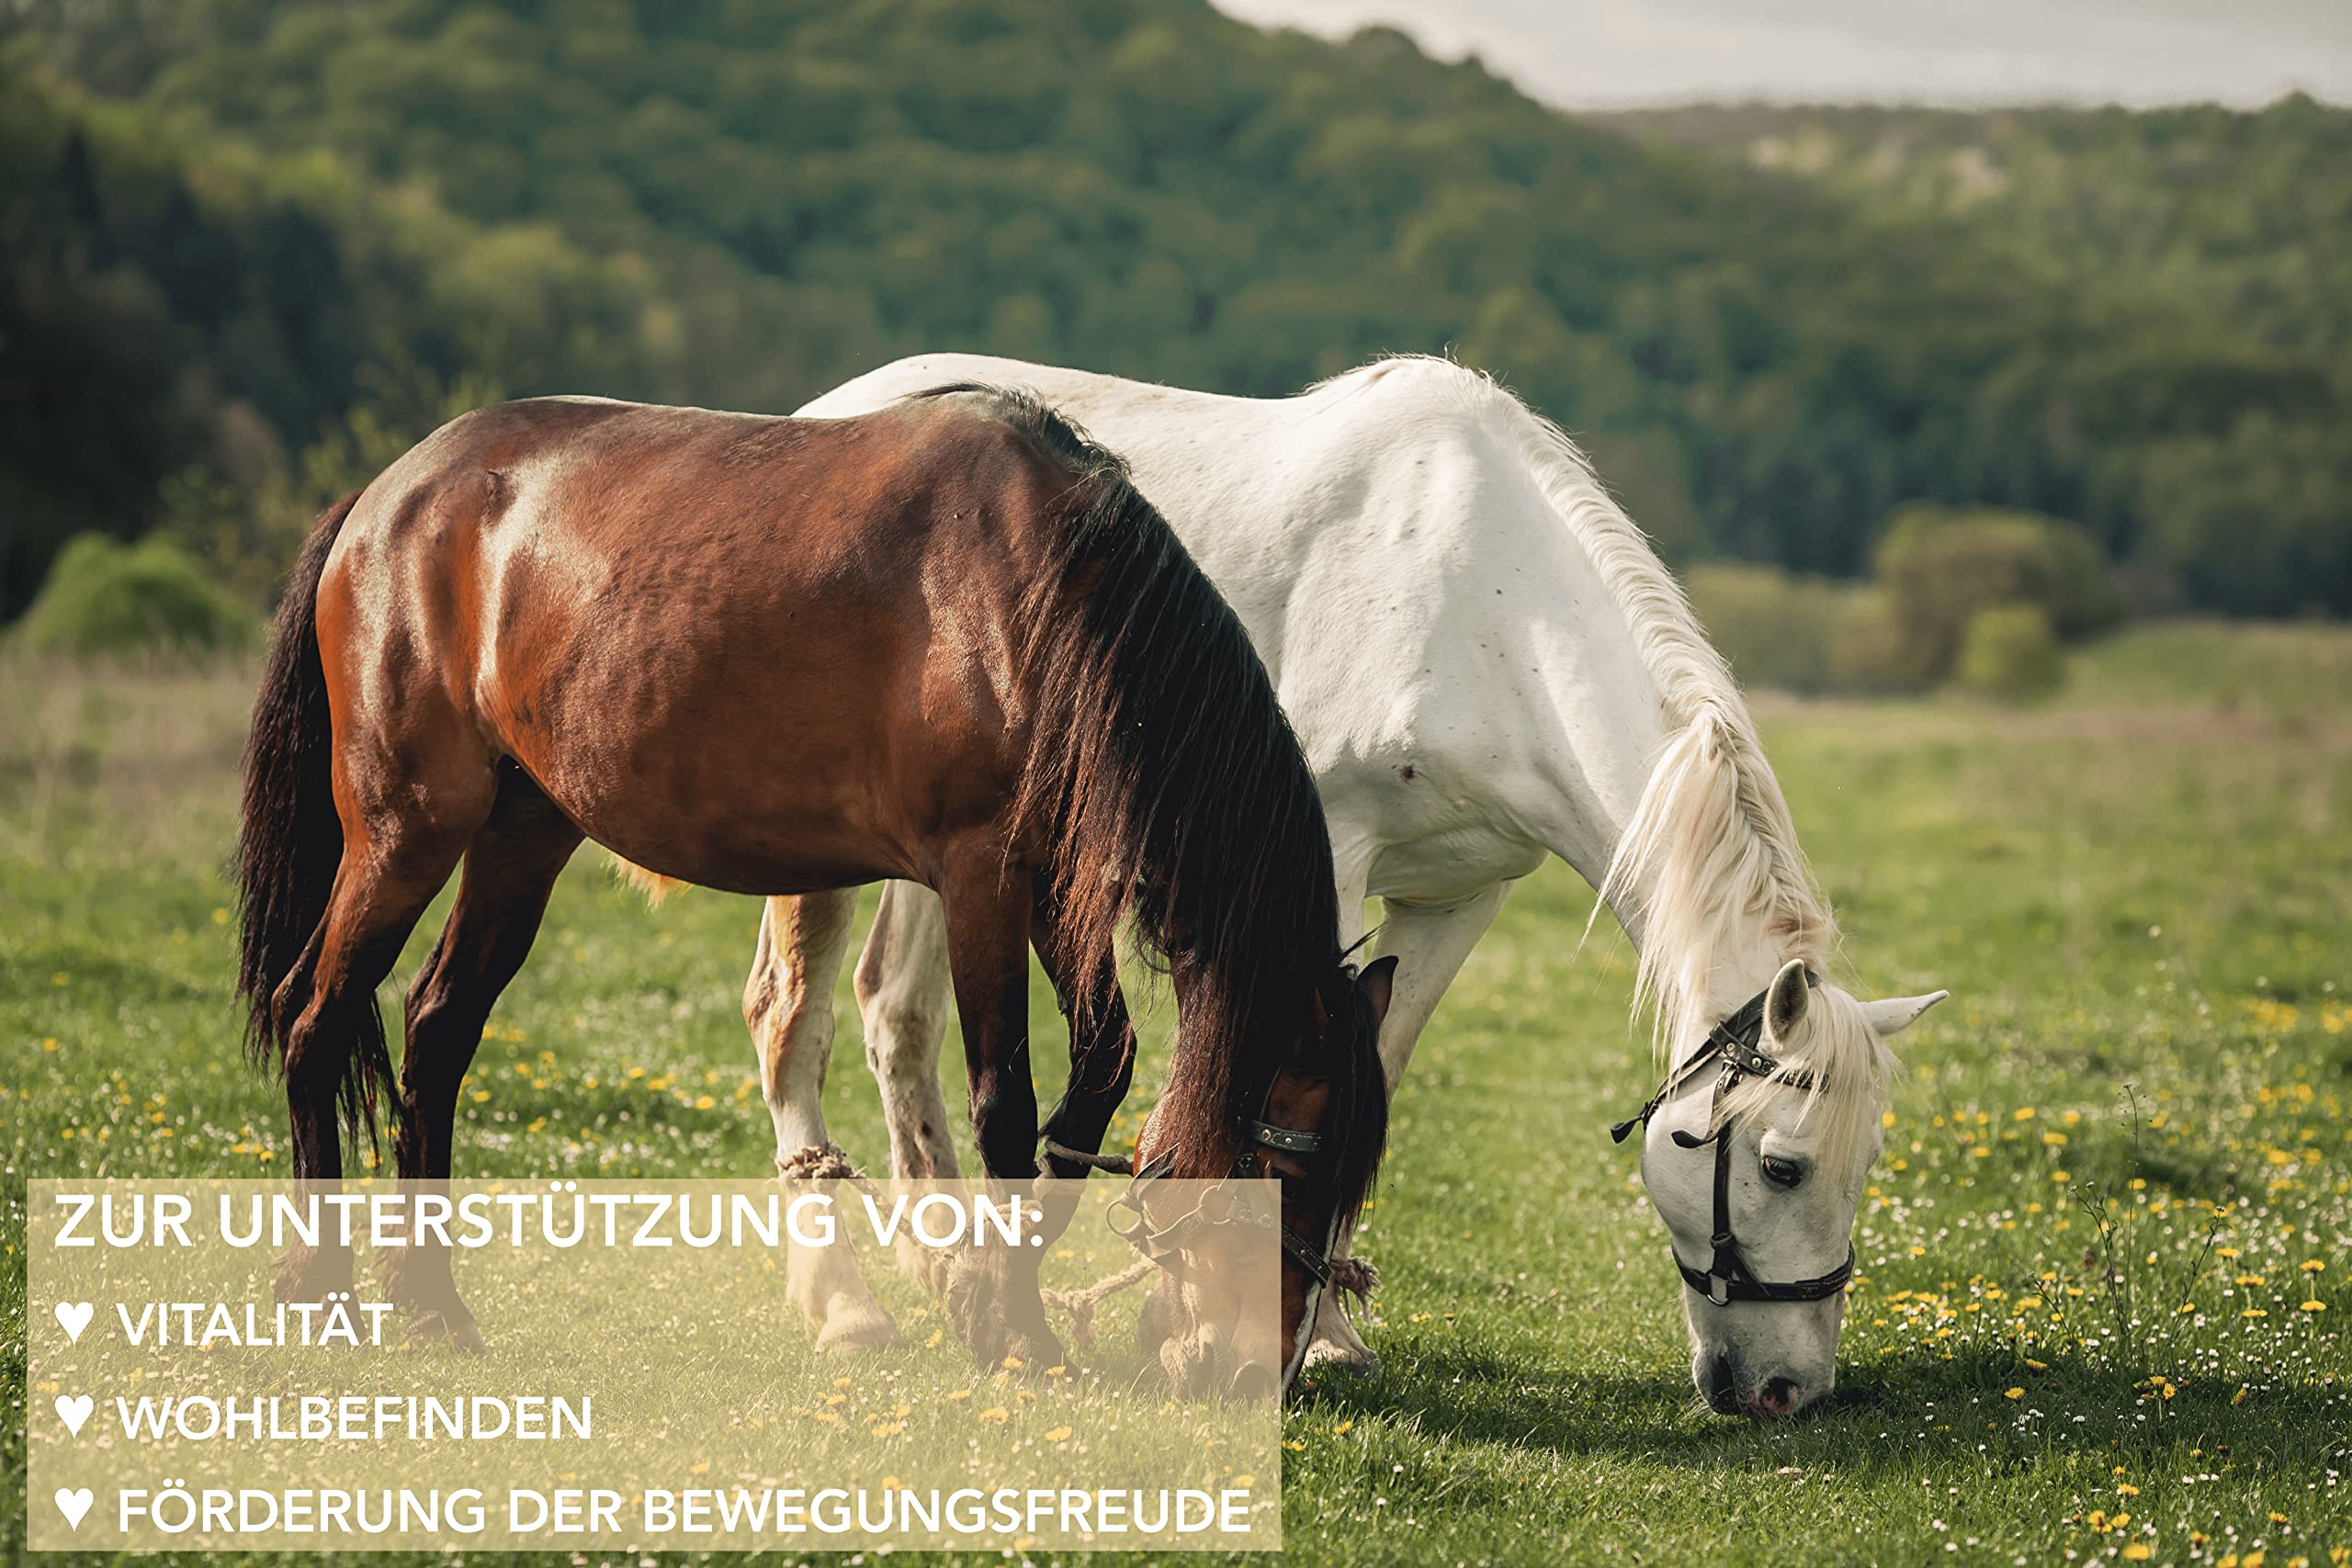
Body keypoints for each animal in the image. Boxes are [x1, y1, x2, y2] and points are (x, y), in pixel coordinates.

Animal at [232, 384, 1395, 1390]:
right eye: (1287, 1170)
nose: (1259, 1368)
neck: (1039, 598)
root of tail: (386, 498)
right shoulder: (981, 879)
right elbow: (1005, 1103)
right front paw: (1015, 1326)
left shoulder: (1056, 884)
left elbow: (1097, 1073)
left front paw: (994, 1290)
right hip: (404, 832)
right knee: (315, 1019)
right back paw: (320, 1287)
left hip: (522, 838)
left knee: (435, 1031)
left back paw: (431, 1304)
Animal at [735, 353, 1949, 1416]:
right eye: (1782, 1168)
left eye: (1866, 1163)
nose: (1788, 1391)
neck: (1488, 611)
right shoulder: (1323, 866)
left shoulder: (1459, 898)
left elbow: (1376, 1071)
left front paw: (1324, 1329)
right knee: (797, 1019)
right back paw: (852, 1306)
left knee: (896, 1014)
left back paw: (953, 1270)